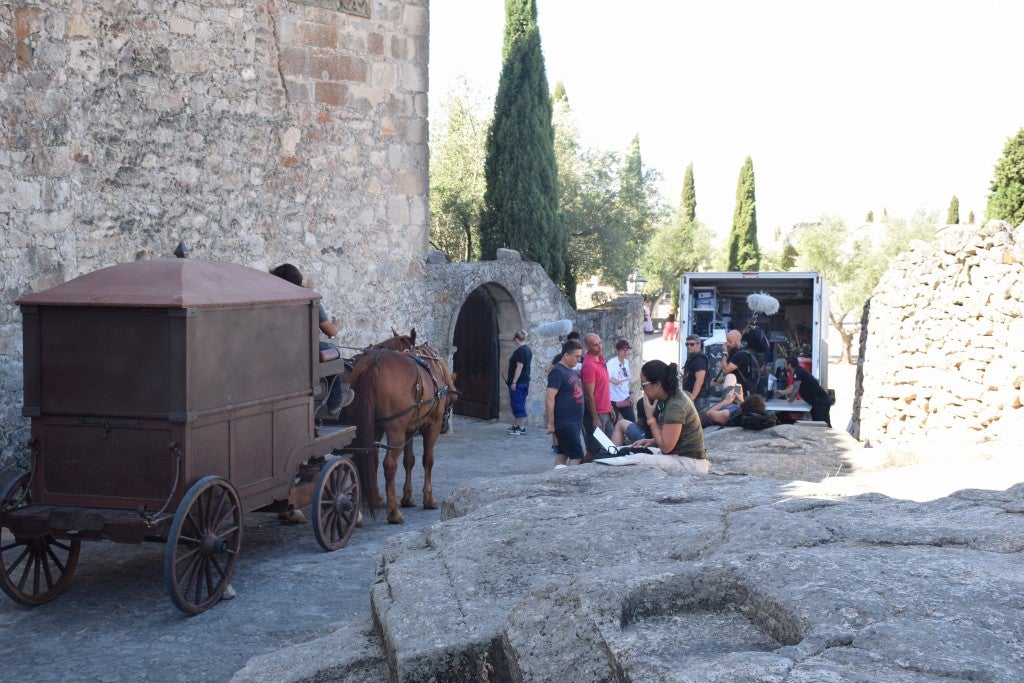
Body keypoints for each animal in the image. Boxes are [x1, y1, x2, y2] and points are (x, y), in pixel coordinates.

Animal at [346, 344, 454, 528]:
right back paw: (394, 512)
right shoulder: (432, 426)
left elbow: (409, 460)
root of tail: (374, 362)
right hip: (395, 430)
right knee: (389, 465)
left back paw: (360, 512)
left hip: (367, 428)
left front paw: (408, 497)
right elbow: (428, 460)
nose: (446, 427)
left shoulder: (410, 429)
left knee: (363, 460)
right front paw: (428, 498)